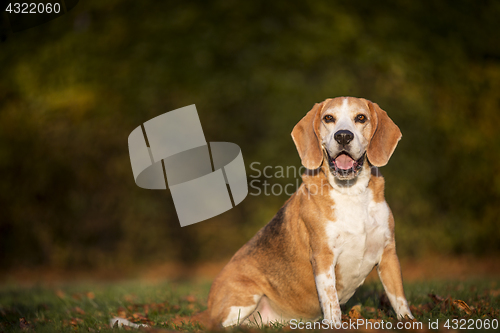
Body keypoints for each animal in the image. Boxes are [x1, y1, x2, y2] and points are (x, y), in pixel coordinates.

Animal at [205, 96, 412, 326]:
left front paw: (410, 323)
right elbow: (331, 302)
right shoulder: (323, 257)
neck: (351, 193)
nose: (343, 136)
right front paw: (334, 326)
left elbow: (399, 299)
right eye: (328, 118)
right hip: (245, 297)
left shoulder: (388, 254)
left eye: (361, 118)